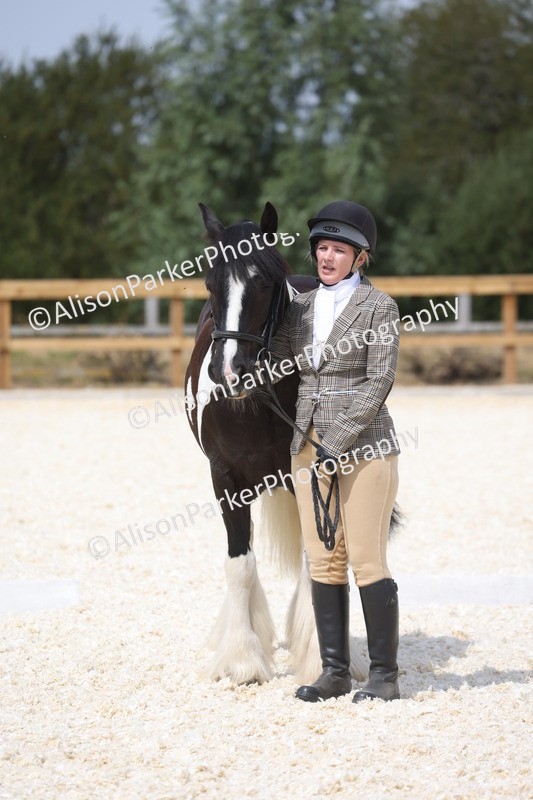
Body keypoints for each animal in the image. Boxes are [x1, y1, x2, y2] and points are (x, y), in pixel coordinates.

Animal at [184, 201, 368, 685]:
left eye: (264, 284)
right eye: (210, 284)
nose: (230, 372)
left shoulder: (311, 475)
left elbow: (316, 560)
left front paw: (318, 658)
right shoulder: (226, 480)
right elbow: (240, 565)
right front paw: (243, 660)